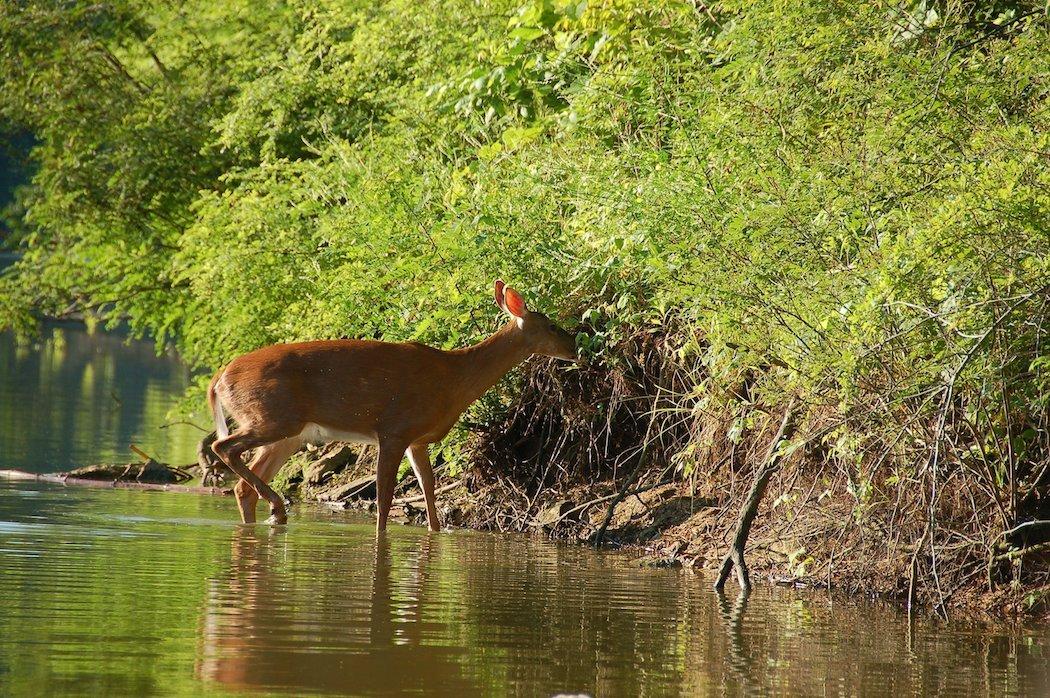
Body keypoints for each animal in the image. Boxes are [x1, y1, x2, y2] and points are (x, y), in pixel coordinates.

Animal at [205, 281, 579, 531]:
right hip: (273, 416)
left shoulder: (418, 439)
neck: (454, 378)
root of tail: (219, 378)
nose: (575, 347)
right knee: (223, 446)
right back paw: (279, 509)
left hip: (289, 432)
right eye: (553, 325)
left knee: (242, 486)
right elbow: (384, 497)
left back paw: (269, 516)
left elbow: (429, 489)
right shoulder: (394, 428)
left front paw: (435, 532)